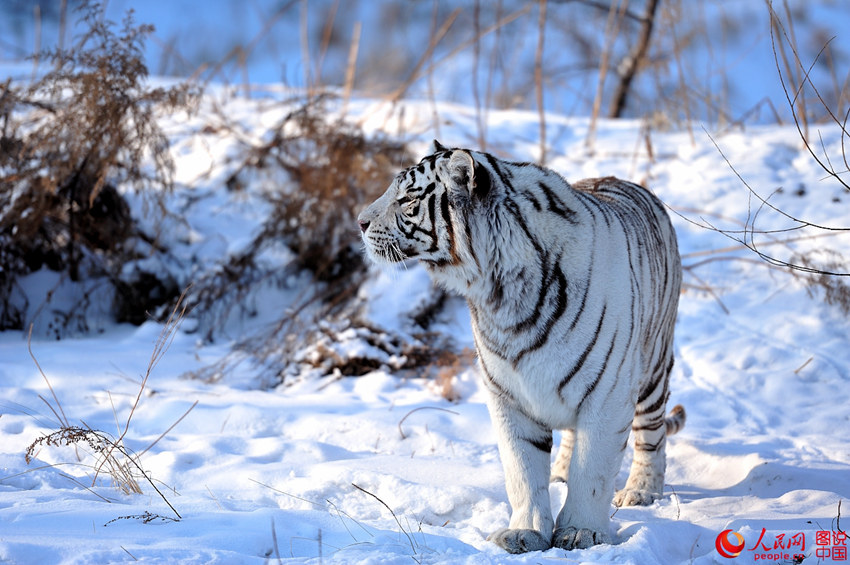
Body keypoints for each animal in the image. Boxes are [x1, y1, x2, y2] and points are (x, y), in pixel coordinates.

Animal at [356, 140, 684, 552]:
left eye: (408, 198)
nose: (359, 222)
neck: (499, 292)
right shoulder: (508, 393)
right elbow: (522, 470)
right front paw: (524, 532)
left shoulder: (607, 393)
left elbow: (592, 470)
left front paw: (581, 532)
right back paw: (560, 474)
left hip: (653, 369)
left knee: (651, 435)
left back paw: (642, 491)